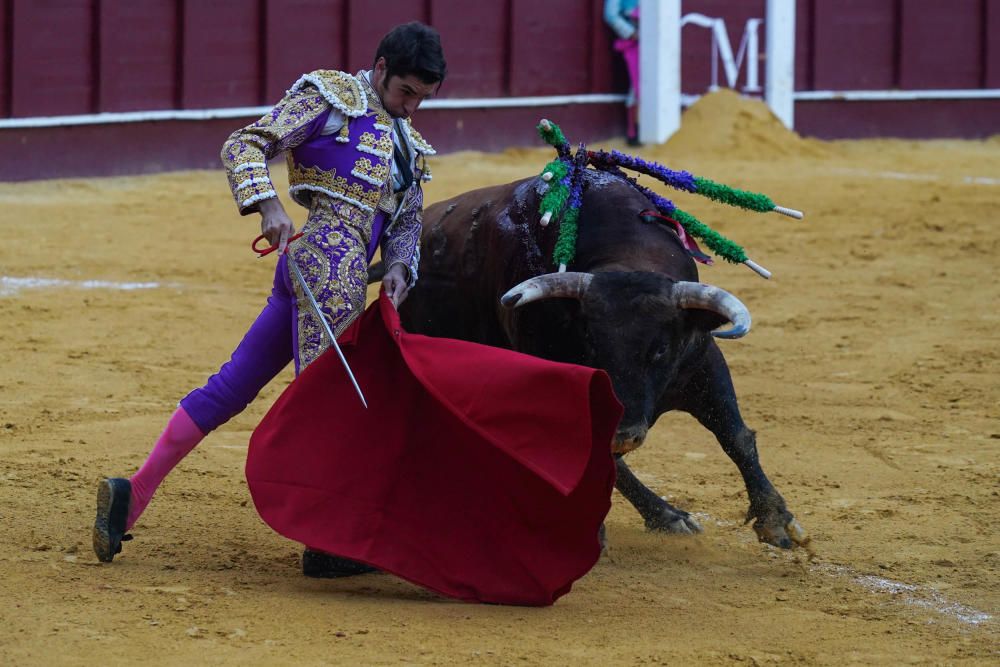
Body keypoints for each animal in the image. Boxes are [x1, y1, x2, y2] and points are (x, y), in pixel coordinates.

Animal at [382, 170, 804, 552]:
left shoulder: (702, 362)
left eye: (660, 350)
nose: (625, 434)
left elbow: (735, 436)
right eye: (591, 343)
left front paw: (776, 522)